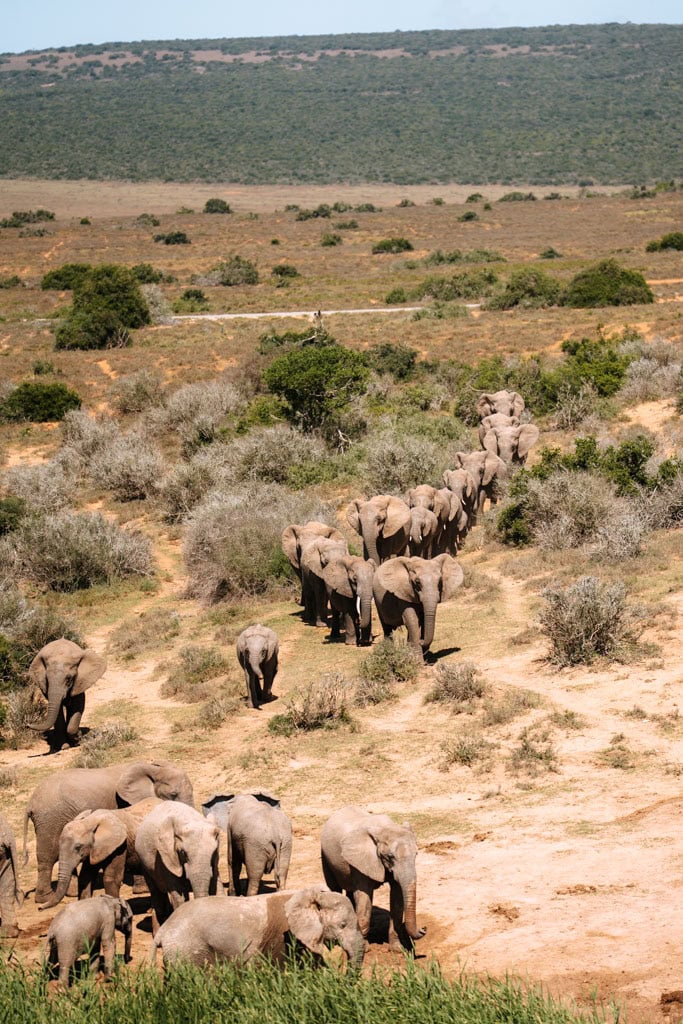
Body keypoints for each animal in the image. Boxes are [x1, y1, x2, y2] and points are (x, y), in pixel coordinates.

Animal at [24, 760, 194, 903]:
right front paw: (142, 890)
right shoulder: (125, 803)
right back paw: (45, 899)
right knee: (48, 856)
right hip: (50, 819)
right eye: (173, 795)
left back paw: (68, 894)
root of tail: (30, 803)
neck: (153, 768)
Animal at [134, 801, 222, 934]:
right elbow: (179, 896)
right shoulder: (166, 858)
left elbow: (217, 889)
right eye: (183, 853)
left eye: (214, 852)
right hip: (144, 863)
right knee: (157, 894)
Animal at [321, 806, 424, 952]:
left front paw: (398, 949)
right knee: (335, 889)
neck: (385, 828)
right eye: (390, 857)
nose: (423, 930)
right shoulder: (361, 861)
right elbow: (364, 899)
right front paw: (364, 949)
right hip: (325, 856)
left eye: (416, 854)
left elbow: (397, 898)